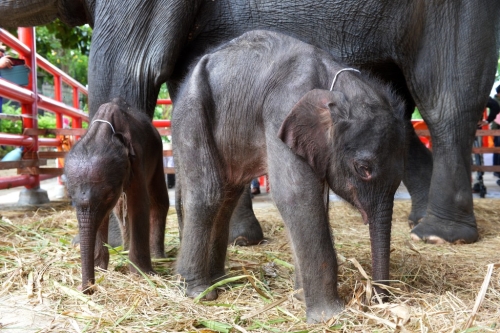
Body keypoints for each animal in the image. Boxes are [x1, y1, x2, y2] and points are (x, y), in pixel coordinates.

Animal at [1, 0, 498, 244]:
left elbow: (128, 67)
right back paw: (419, 224)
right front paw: (241, 240)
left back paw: (440, 237)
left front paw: (113, 247)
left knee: (447, 100)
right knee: (397, 109)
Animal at [65, 97, 170, 292]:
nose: (88, 290)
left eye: (108, 195)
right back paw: (125, 249)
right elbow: (104, 215)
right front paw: (100, 268)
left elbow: (139, 205)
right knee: (121, 209)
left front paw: (142, 274)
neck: (104, 132)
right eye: (70, 198)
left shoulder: (137, 159)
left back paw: (158, 257)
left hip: (158, 152)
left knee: (158, 199)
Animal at [174, 30, 408, 322]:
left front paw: (299, 297)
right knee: (209, 193)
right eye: (363, 169)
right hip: (192, 112)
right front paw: (328, 317)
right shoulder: (280, 112)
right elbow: (296, 196)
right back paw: (200, 292)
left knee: (227, 194)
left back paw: (220, 281)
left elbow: (315, 201)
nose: (379, 300)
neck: (335, 83)